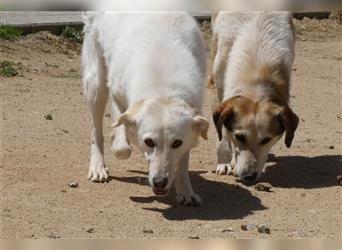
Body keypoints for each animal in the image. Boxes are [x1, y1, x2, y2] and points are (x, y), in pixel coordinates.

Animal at [81, 12, 208, 206]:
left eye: (176, 143)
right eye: (149, 142)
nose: (160, 182)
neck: (162, 88)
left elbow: (182, 163)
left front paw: (186, 191)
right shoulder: (118, 96)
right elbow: (121, 148)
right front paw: (121, 140)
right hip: (96, 84)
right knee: (96, 132)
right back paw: (98, 167)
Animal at [208, 11, 300, 183]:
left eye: (266, 140)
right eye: (240, 137)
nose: (249, 177)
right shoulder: (218, 83)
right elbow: (223, 132)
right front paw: (225, 161)